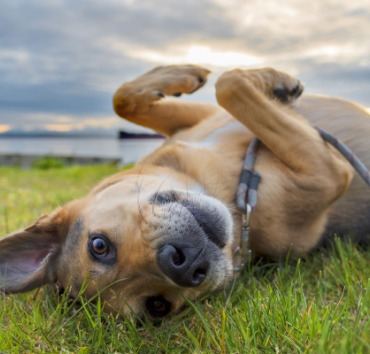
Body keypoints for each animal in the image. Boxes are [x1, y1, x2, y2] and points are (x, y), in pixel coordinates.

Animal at [0, 64, 370, 320]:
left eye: (99, 246)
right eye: (158, 306)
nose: (182, 263)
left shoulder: (202, 119)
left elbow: (125, 99)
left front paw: (267, 80)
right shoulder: (327, 172)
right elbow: (230, 87)